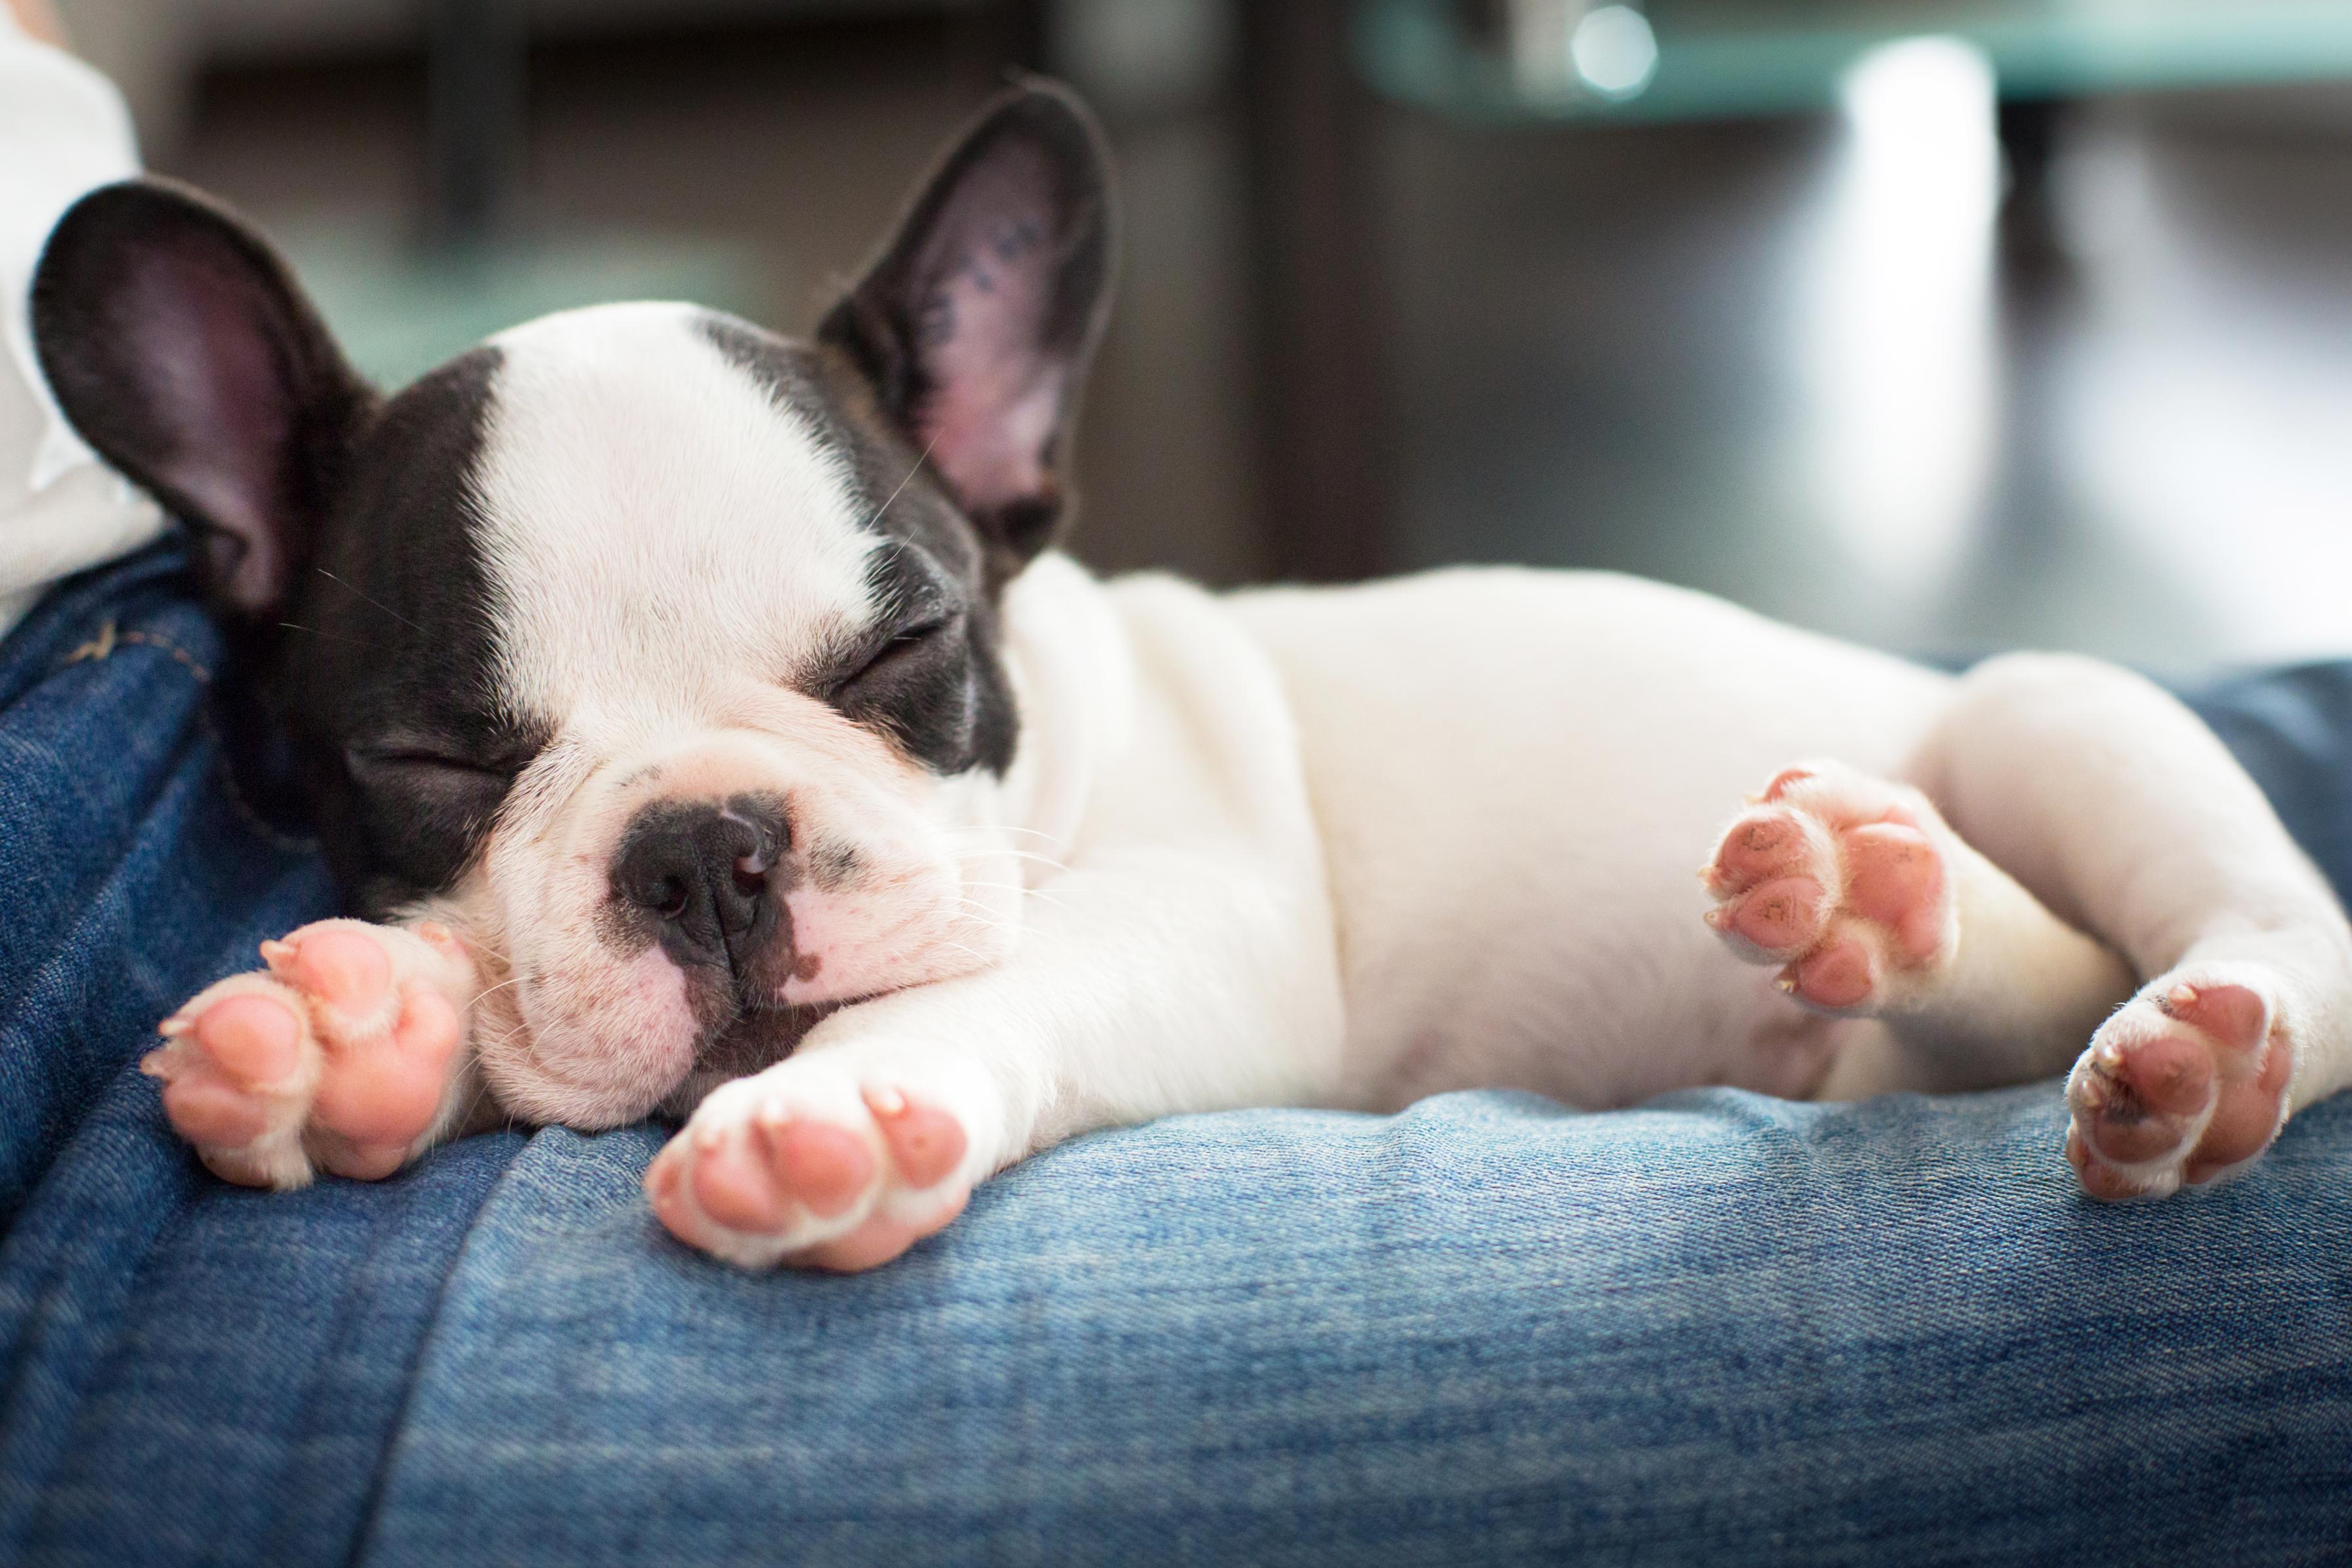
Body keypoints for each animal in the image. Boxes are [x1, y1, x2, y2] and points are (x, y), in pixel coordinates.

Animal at [32, 80, 2352, 1269]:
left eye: (908, 646)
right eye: (429, 761)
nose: (703, 852)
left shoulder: (1203, 926)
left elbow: (984, 986)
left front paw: (836, 1105)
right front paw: (364, 1041)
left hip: (2054, 711)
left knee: (2225, 938)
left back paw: (2165, 1037)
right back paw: (1873, 894)